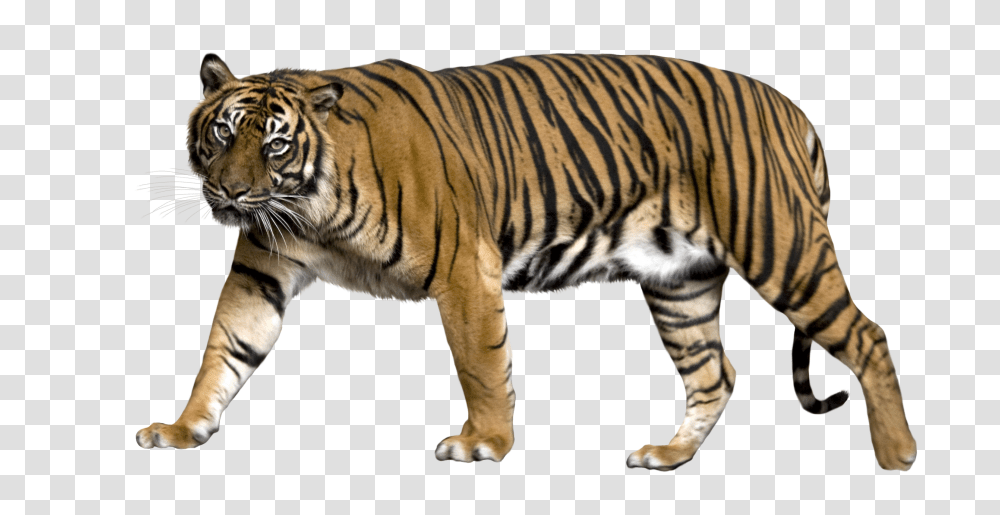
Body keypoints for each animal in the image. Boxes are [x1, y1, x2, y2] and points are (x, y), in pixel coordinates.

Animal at [136, 52, 917, 472]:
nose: (230, 192)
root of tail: (790, 107)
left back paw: (898, 454)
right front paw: (183, 428)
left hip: (781, 246)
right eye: (221, 133)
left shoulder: (464, 269)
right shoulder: (261, 272)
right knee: (714, 373)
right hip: (681, 284)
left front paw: (484, 442)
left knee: (868, 334)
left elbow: (481, 363)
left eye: (273, 143)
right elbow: (224, 351)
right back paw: (667, 456)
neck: (309, 208)